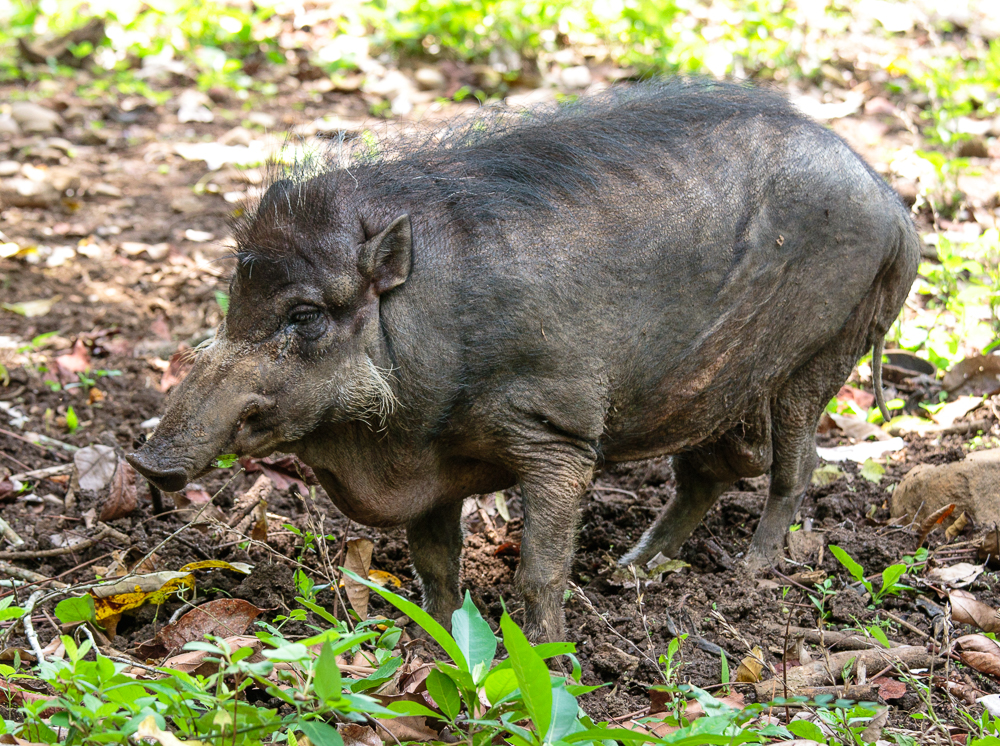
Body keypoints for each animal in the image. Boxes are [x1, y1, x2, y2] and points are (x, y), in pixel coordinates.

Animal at [131, 80, 920, 640]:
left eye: (305, 315)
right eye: (234, 302)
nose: (147, 461)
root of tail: (892, 201)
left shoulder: (559, 435)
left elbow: (539, 571)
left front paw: (547, 659)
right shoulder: (430, 471)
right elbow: (434, 571)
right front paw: (439, 647)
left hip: (824, 351)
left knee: (795, 464)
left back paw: (750, 574)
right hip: (716, 388)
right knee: (715, 468)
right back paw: (633, 570)